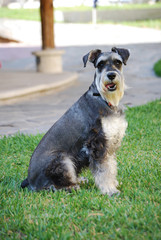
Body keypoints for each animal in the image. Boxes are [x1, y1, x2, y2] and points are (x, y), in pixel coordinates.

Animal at [21, 47, 130, 197]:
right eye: (100, 64)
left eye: (118, 62)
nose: (111, 75)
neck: (103, 99)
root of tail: (30, 182)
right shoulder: (97, 143)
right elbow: (103, 169)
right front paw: (110, 190)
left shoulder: (109, 144)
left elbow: (111, 166)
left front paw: (113, 184)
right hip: (63, 160)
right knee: (52, 186)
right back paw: (72, 187)